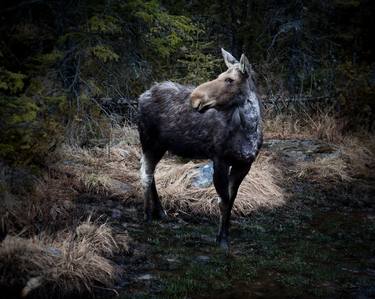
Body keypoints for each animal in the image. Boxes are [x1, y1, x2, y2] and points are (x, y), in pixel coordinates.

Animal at [138, 49, 264, 251]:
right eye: (220, 75)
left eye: (230, 79)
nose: (195, 98)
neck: (249, 131)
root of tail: (142, 95)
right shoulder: (219, 159)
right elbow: (223, 200)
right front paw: (221, 240)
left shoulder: (245, 164)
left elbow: (232, 199)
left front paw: (225, 235)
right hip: (149, 140)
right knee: (145, 173)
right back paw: (147, 215)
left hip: (161, 145)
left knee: (152, 172)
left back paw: (160, 211)